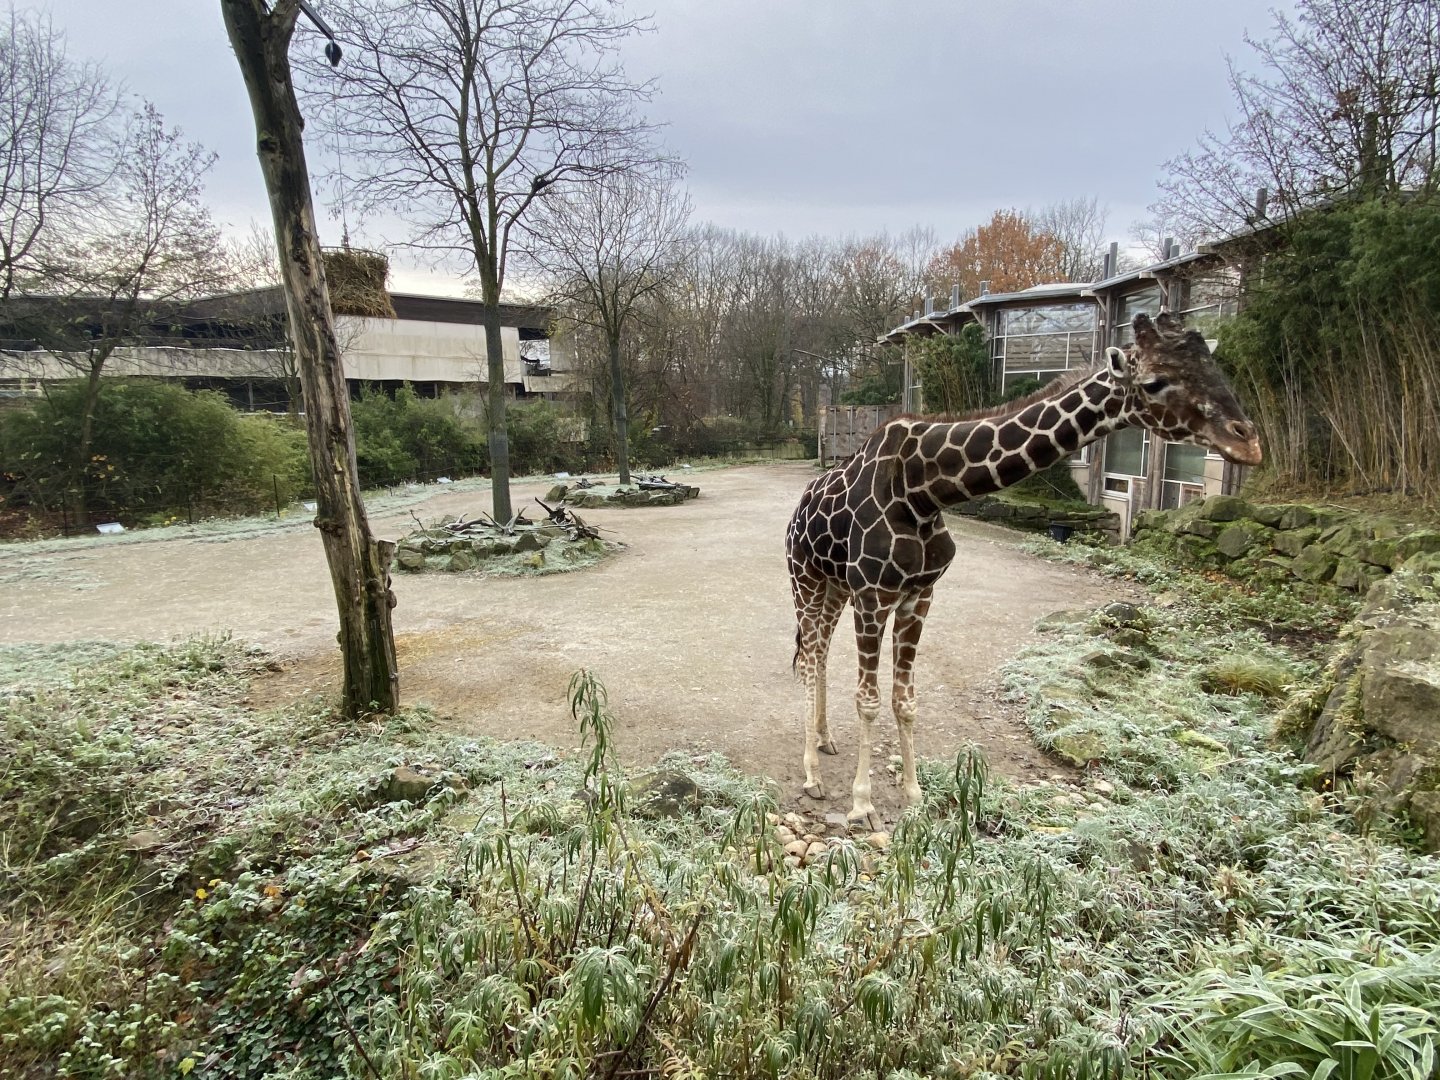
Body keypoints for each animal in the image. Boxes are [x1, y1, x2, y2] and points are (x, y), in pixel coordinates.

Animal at [785, 312, 1262, 829]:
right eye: (1156, 381)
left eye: (1216, 366)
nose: (1248, 441)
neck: (923, 492)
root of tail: (798, 510)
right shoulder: (874, 594)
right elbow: (869, 700)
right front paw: (862, 803)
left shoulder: (919, 595)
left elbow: (905, 701)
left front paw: (913, 795)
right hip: (805, 579)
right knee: (809, 657)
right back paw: (810, 774)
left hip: (836, 587)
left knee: (819, 654)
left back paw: (824, 739)